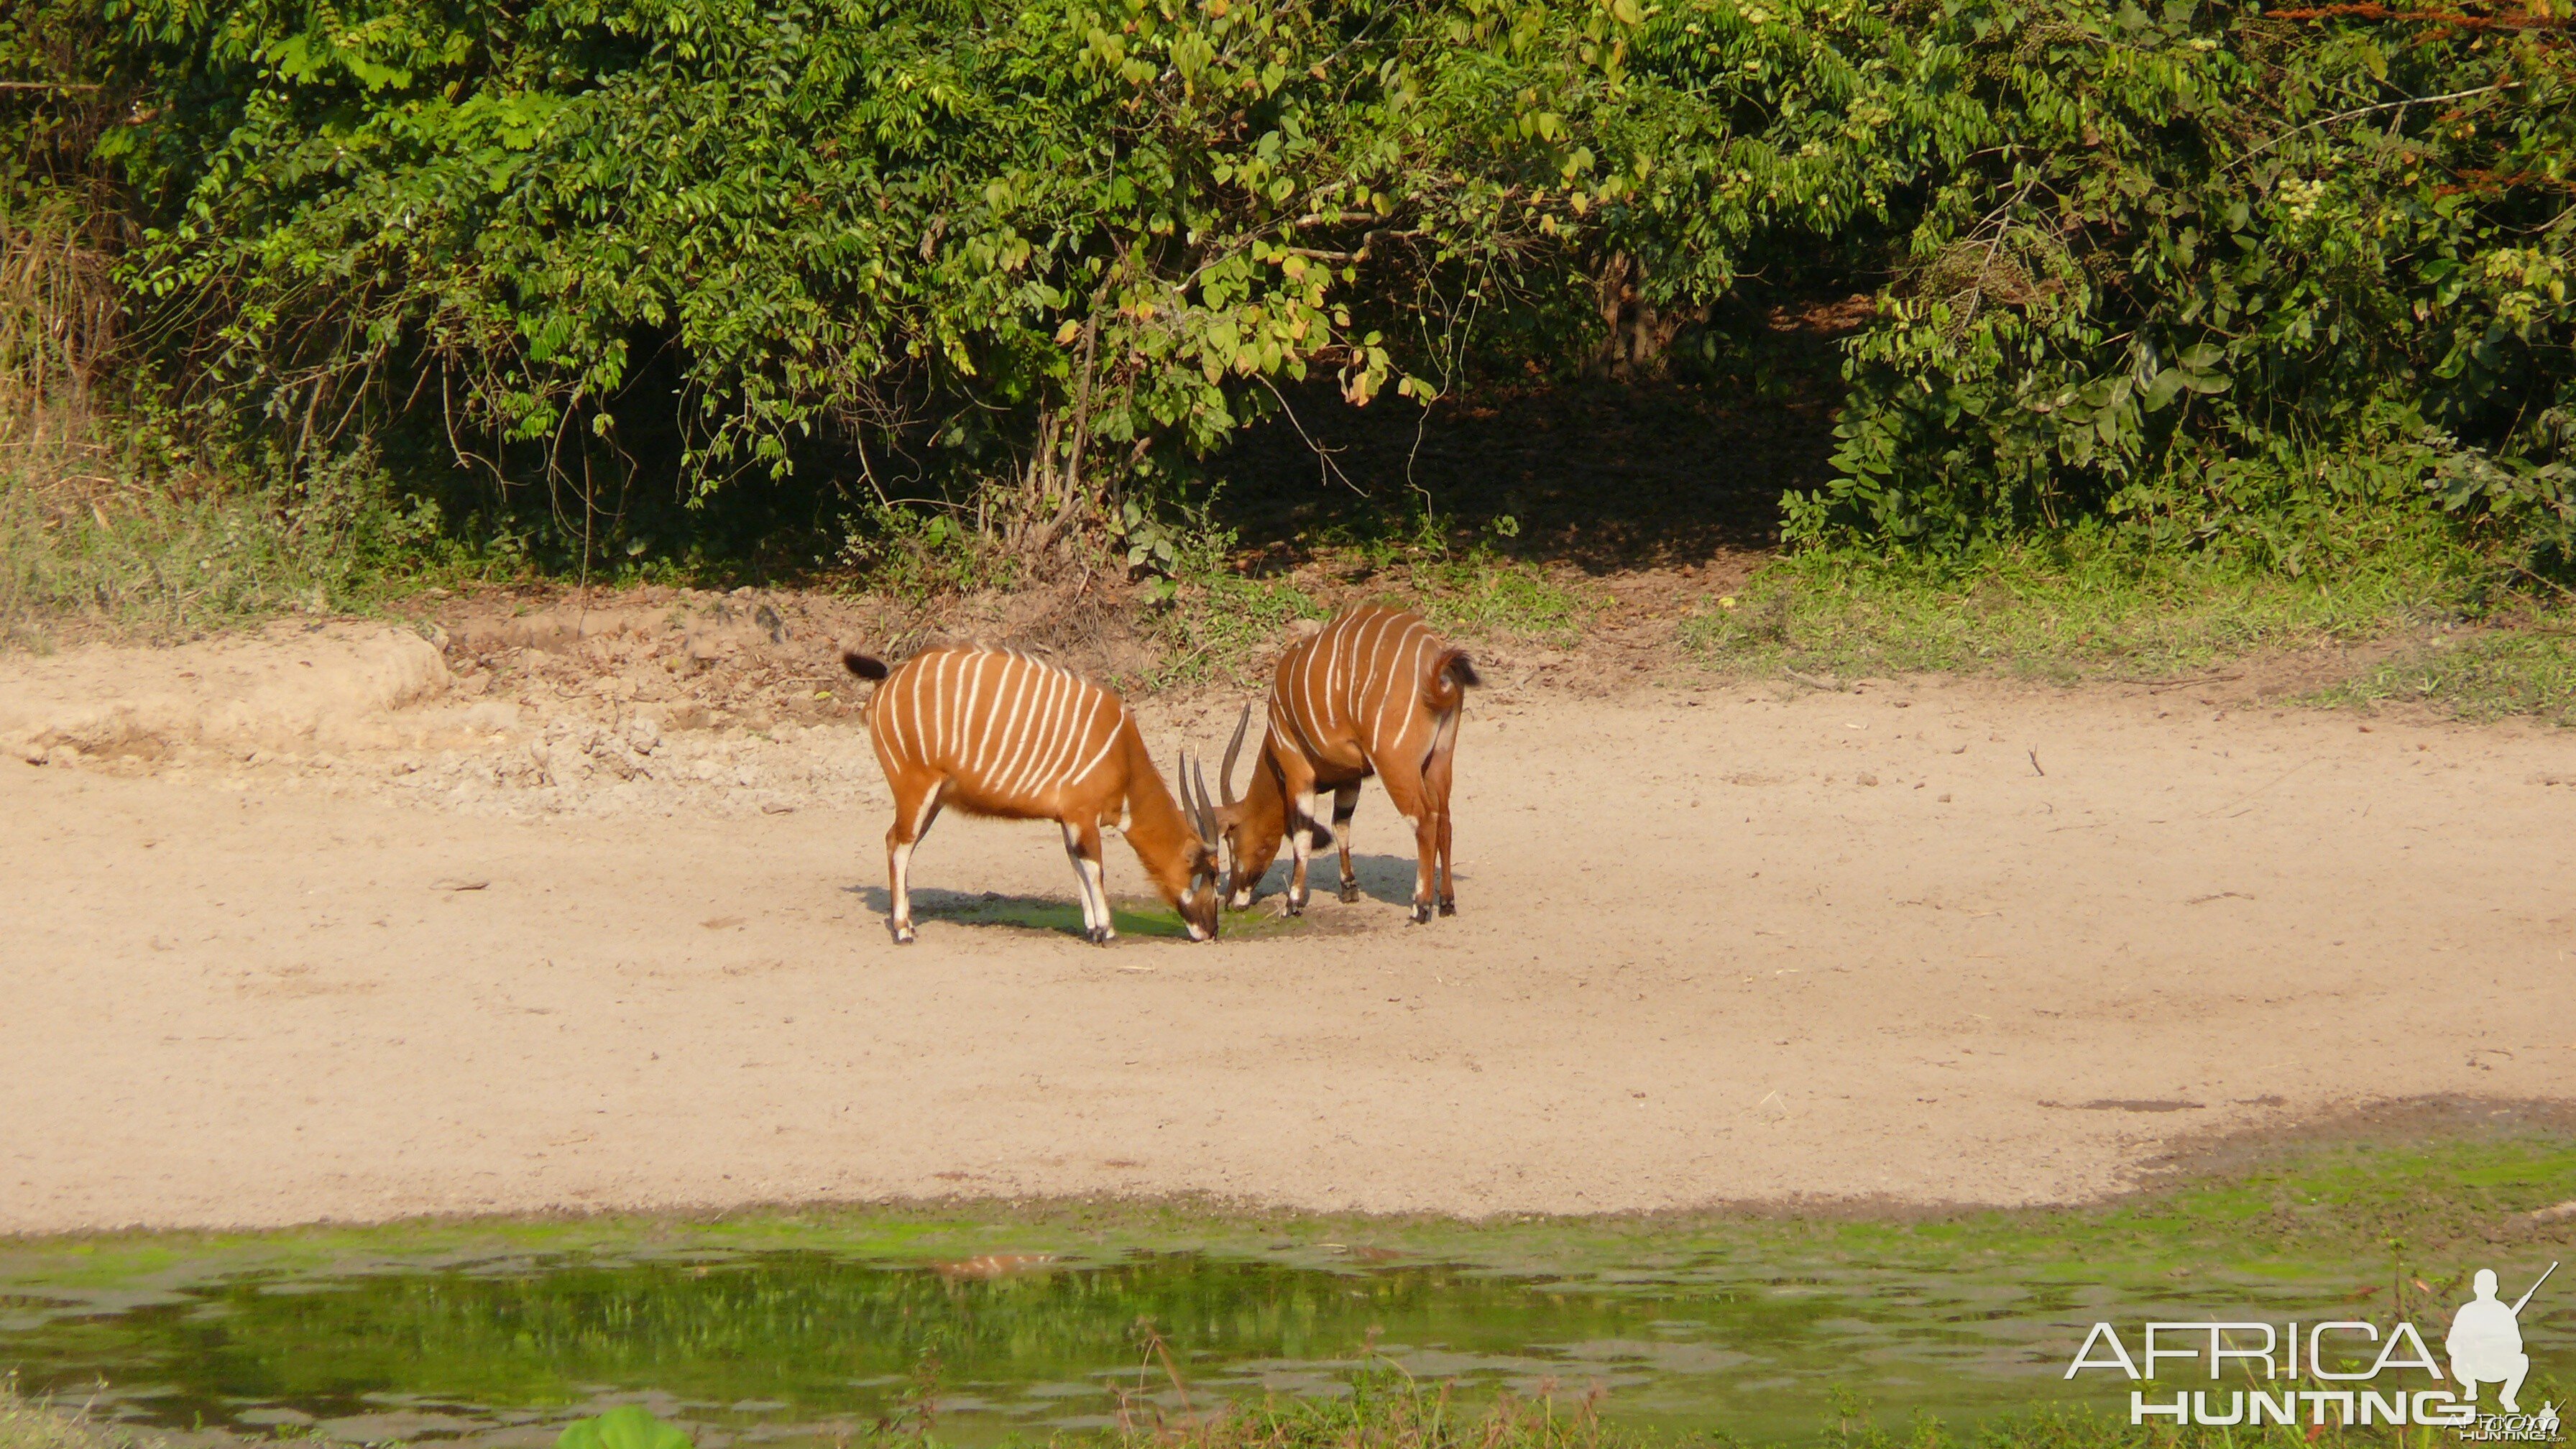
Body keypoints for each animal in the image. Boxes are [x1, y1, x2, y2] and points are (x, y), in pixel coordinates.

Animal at [834, 644, 1215, 943]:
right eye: (1209, 871)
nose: (1211, 930)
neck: (1122, 754)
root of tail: (887, 683)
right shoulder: (1082, 815)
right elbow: (1094, 866)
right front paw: (1106, 930)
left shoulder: (1069, 819)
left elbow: (1076, 864)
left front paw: (1092, 927)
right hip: (915, 789)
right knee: (898, 844)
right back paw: (903, 930)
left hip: (933, 800)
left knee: (896, 841)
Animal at [1210, 603, 1484, 918]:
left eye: (1232, 843)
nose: (1231, 901)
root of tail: (1435, 662)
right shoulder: (1350, 778)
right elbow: (1341, 825)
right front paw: (1348, 888)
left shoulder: (1297, 772)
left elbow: (1303, 834)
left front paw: (1293, 902)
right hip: (1438, 761)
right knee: (1444, 821)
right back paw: (1447, 902)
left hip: (1396, 766)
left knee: (1424, 821)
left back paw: (1420, 907)